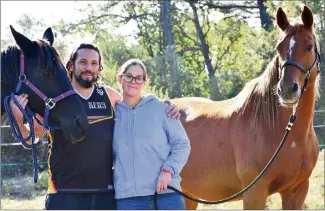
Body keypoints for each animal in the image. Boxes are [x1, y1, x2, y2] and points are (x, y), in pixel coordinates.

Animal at [173, 5, 320, 209]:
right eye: (278, 48)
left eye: (309, 46)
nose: (286, 90)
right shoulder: (255, 193)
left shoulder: (297, 191)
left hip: (187, 195)